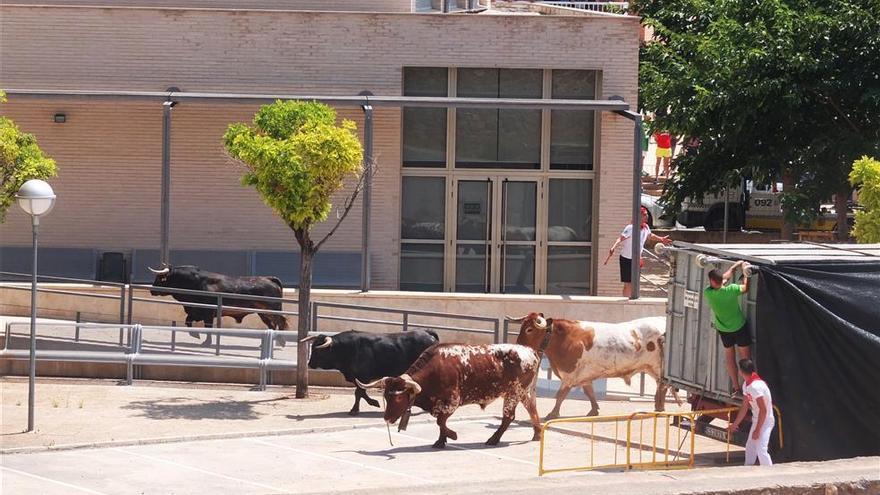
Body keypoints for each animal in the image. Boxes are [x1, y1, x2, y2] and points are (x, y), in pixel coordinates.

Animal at [150, 266, 288, 346]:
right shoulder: (196, 312)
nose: (151, 290)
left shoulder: (208, 313)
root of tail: (269, 278)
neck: (196, 283)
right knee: (271, 325)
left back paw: (281, 342)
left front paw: (206, 342)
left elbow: (208, 327)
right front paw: (195, 335)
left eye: (160, 278)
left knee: (281, 322)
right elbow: (188, 321)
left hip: (271, 310)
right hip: (263, 313)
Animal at [304, 332, 440, 416]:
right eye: (312, 347)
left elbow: (359, 393)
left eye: (318, 350)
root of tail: (427, 333)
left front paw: (356, 409)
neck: (347, 349)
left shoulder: (363, 376)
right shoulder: (358, 378)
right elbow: (361, 392)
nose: (310, 364)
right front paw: (371, 403)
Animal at [358, 344, 544, 450]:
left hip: (514, 392)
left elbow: (440, 421)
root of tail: (530, 351)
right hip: (522, 392)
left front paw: (451, 436)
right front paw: (441, 441)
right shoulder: (440, 404)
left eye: (397, 398)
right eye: (386, 397)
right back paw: (537, 434)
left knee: (508, 417)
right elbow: (440, 422)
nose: (387, 418)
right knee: (532, 409)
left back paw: (493, 439)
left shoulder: (453, 401)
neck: (436, 369)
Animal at [516, 314, 680, 418]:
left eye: (529, 329)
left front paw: (553, 414)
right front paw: (594, 410)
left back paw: (660, 408)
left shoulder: (570, 376)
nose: (518, 343)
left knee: (662, 387)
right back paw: (658, 406)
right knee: (661, 386)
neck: (564, 338)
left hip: (658, 367)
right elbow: (590, 393)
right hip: (652, 368)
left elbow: (560, 395)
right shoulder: (584, 376)